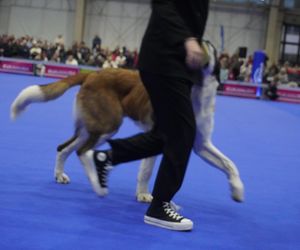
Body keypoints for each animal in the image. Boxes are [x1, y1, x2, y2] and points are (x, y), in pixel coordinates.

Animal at [10, 40, 245, 201]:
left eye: (211, 47)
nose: (198, 40)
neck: (195, 88)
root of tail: (91, 74)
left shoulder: (200, 144)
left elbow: (229, 163)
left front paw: (237, 189)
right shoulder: (159, 136)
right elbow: (147, 170)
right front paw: (143, 195)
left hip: (90, 128)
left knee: (64, 147)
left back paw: (60, 175)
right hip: (108, 124)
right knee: (83, 151)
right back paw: (96, 182)